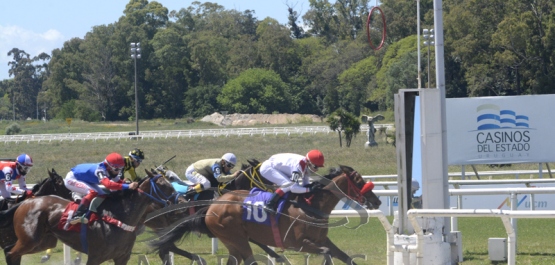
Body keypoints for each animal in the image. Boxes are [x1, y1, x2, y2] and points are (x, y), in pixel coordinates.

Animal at [0, 169, 176, 264]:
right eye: (163, 185)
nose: (176, 200)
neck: (119, 216)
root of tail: (25, 203)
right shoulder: (95, 257)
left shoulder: (122, 258)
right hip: (30, 240)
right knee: (10, 253)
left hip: (43, 242)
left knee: (11, 252)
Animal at [149, 165, 382, 264]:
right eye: (358, 181)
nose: (377, 201)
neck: (311, 206)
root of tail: (212, 207)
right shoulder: (297, 243)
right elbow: (326, 253)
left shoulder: (322, 239)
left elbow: (344, 256)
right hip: (236, 237)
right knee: (249, 259)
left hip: (232, 241)